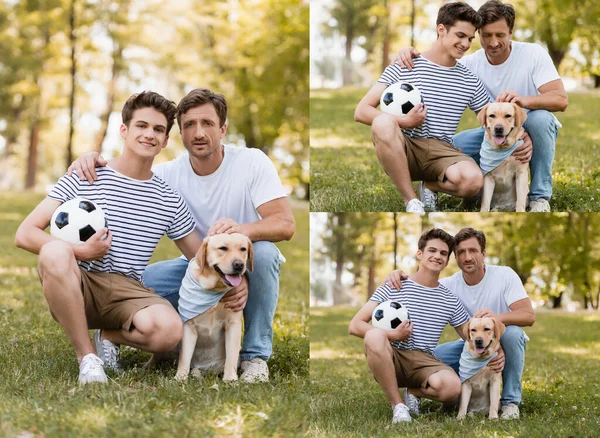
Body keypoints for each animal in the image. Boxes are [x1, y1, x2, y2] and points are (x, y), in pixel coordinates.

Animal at [173, 234, 253, 382]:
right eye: (223, 248)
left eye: (243, 249)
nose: (239, 264)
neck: (214, 288)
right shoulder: (188, 325)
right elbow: (185, 357)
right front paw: (180, 378)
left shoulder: (233, 324)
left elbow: (231, 357)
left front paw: (230, 379)